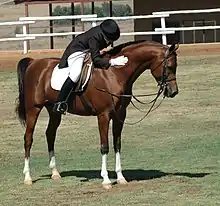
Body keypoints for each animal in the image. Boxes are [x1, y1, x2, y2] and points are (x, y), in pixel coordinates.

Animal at [15, 39, 180, 189]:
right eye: (169, 66)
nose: (173, 91)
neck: (114, 74)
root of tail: (33, 63)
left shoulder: (120, 115)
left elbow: (117, 144)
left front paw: (120, 177)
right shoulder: (104, 115)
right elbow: (104, 146)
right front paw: (106, 180)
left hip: (54, 111)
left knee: (50, 135)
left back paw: (55, 173)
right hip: (33, 109)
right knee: (28, 138)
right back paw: (28, 177)